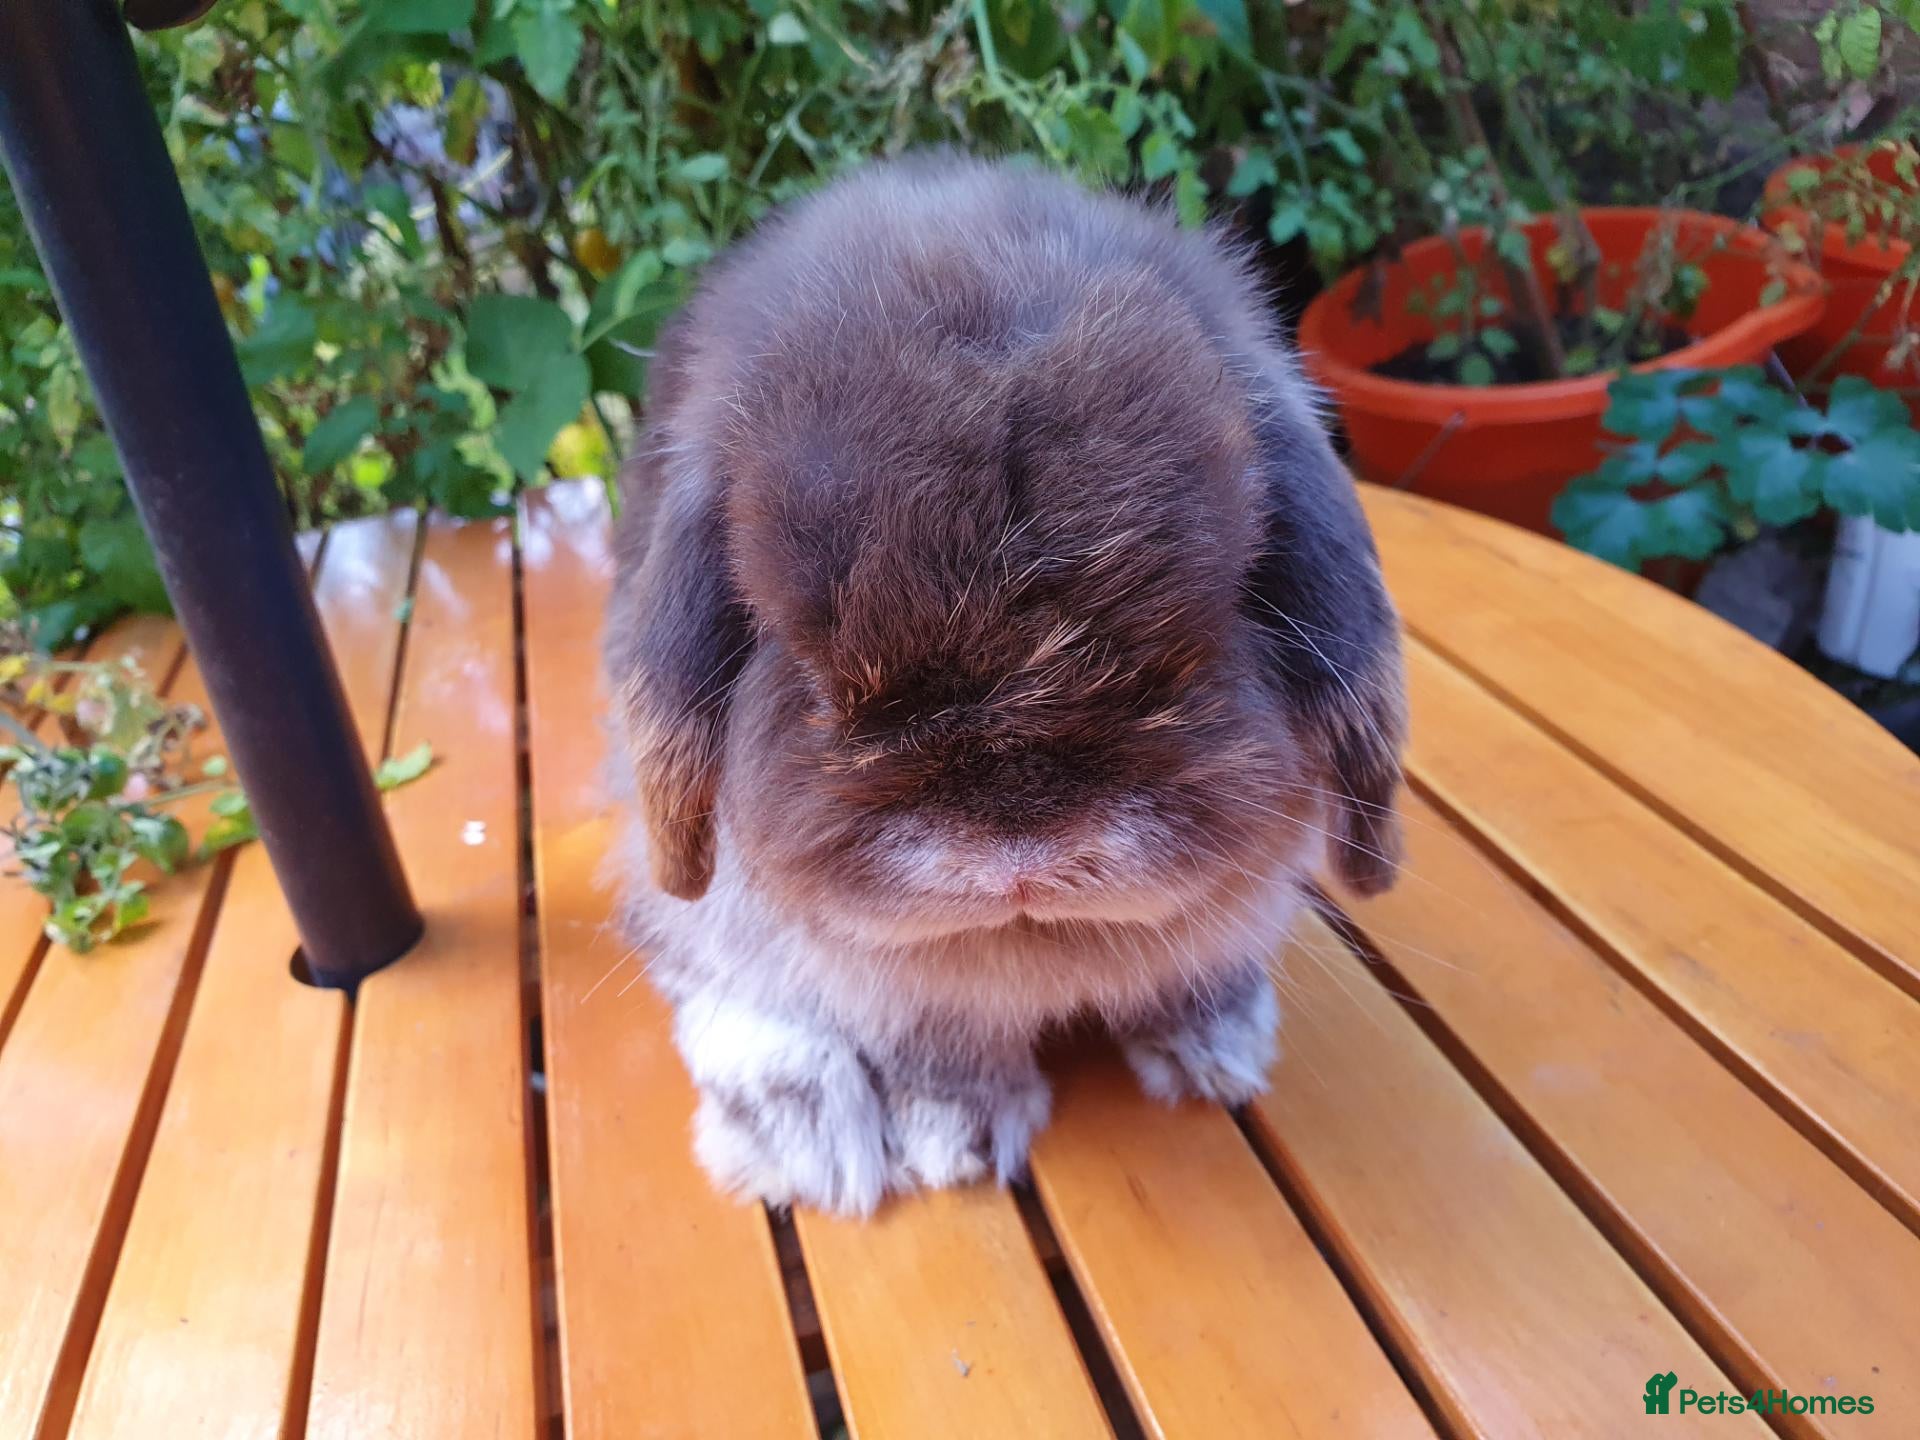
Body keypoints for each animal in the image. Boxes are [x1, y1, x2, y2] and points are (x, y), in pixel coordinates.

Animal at [604, 153, 1406, 1216]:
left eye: (1223, 604)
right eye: (802, 663)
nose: (1020, 858)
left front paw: (1214, 1047)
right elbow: (934, 1038)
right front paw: (961, 1136)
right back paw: (804, 1134)